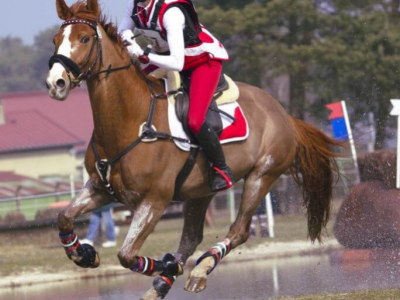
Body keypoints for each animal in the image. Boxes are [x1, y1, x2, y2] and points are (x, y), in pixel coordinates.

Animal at [45, 1, 340, 298]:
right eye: (56, 40)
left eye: (84, 38)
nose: (55, 83)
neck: (131, 122)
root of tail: (283, 113)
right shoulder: (101, 189)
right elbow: (64, 217)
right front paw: (83, 254)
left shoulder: (154, 200)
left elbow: (126, 255)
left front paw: (167, 265)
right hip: (201, 191)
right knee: (191, 238)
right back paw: (161, 285)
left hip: (262, 175)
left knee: (239, 230)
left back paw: (197, 270)